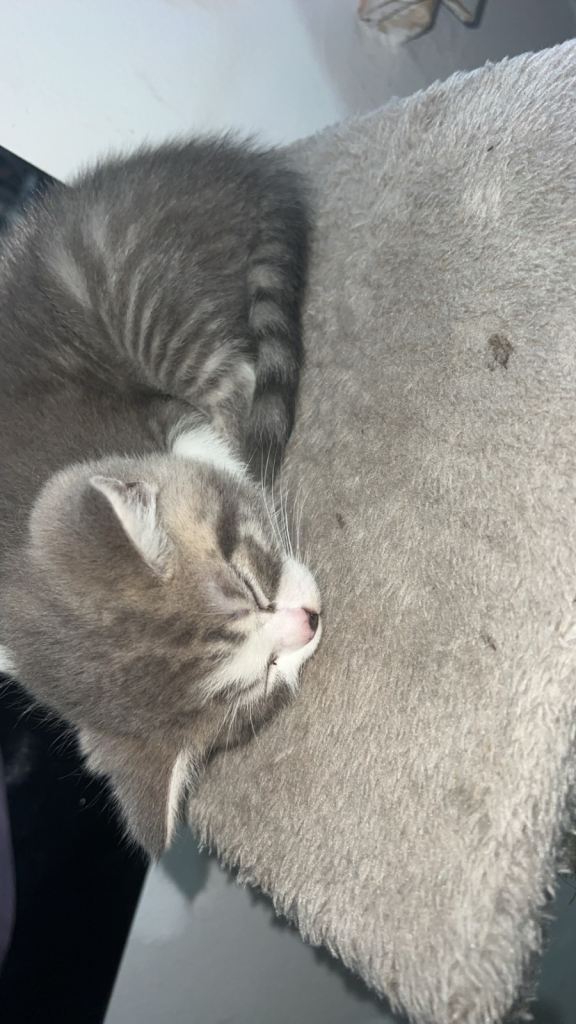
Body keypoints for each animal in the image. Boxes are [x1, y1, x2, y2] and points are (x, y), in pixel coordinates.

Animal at [0, 137, 321, 856]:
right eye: (263, 675)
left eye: (250, 582)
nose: (310, 623)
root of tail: (238, 165)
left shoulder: (145, 415)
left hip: (147, 303)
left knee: (236, 373)